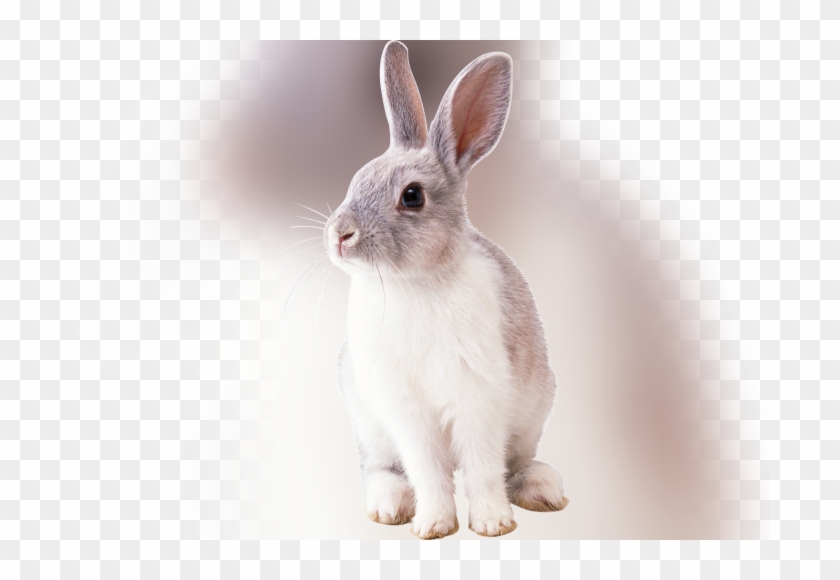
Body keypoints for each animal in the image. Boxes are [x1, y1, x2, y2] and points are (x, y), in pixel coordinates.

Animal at [323, 41, 568, 539]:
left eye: (412, 196)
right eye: (356, 180)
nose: (340, 235)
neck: (414, 282)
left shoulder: (478, 398)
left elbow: (482, 467)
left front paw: (492, 524)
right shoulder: (407, 411)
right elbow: (427, 470)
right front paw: (433, 525)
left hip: (533, 413)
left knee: (515, 463)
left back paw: (543, 490)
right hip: (369, 423)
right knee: (380, 468)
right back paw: (389, 506)